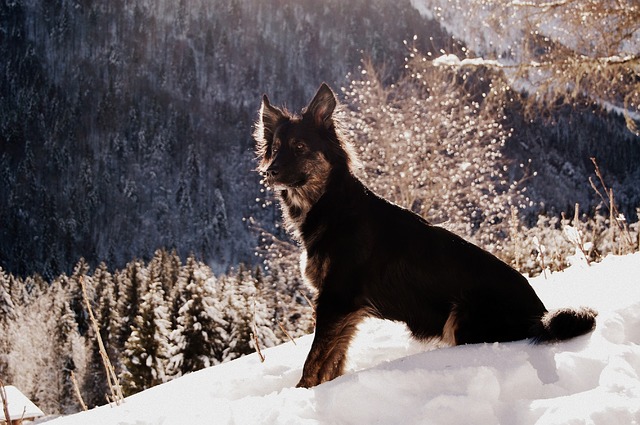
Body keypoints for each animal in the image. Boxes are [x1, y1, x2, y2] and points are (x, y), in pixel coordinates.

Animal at [252, 83, 596, 388]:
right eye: (275, 148)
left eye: (299, 147)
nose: (269, 172)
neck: (331, 204)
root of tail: (540, 314)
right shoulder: (346, 312)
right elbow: (332, 362)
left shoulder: (335, 301)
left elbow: (313, 363)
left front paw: (298, 396)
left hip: (461, 317)